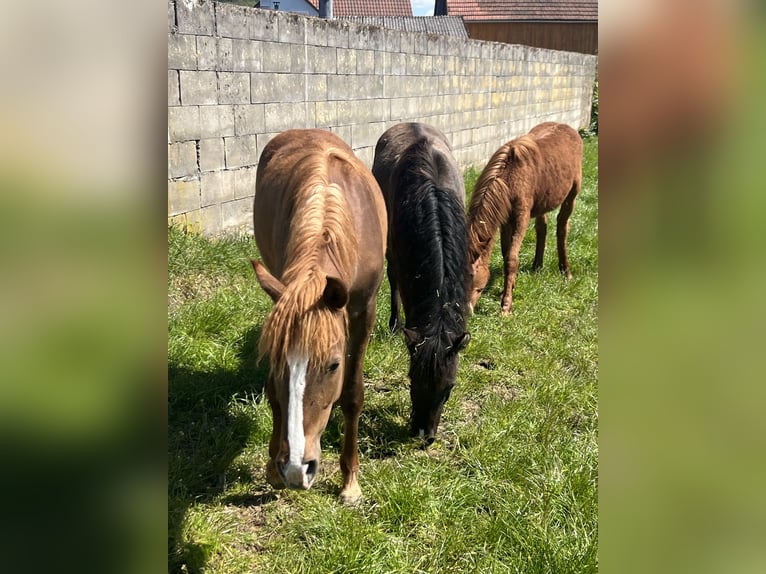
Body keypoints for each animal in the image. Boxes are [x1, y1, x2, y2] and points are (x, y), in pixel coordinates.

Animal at [252, 129, 388, 504]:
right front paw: (273, 469)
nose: (297, 468)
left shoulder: (363, 311)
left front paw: (350, 482)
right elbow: (275, 394)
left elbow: (352, 394)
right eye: (277, 361)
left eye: (333, 365)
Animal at [464, 121, 584, 316]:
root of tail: (567, 127)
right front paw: (509, 288)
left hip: (572, 194)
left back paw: (566, 271)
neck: (509, 178)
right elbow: (506, 253)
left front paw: (506, 305)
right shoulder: (505, 220)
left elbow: (511, 258)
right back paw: (537, 266)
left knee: (562, 228)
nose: (465, 313)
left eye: (478, 287)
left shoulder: (522, 217)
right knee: (543, 227)